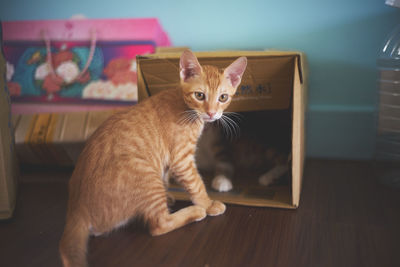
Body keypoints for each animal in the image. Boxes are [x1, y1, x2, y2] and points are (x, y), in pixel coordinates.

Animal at [59, 50, 247, 267]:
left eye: (223, 97)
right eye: (200, 95)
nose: (211, 113)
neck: (185, 106)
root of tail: (76, 208)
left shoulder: (167, 161)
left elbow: (167, 177)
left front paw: (171, 194)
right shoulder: (181, 159)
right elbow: (196, 184)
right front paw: (207, 204)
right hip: (146, 176)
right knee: (158, 225)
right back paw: (194, 212)